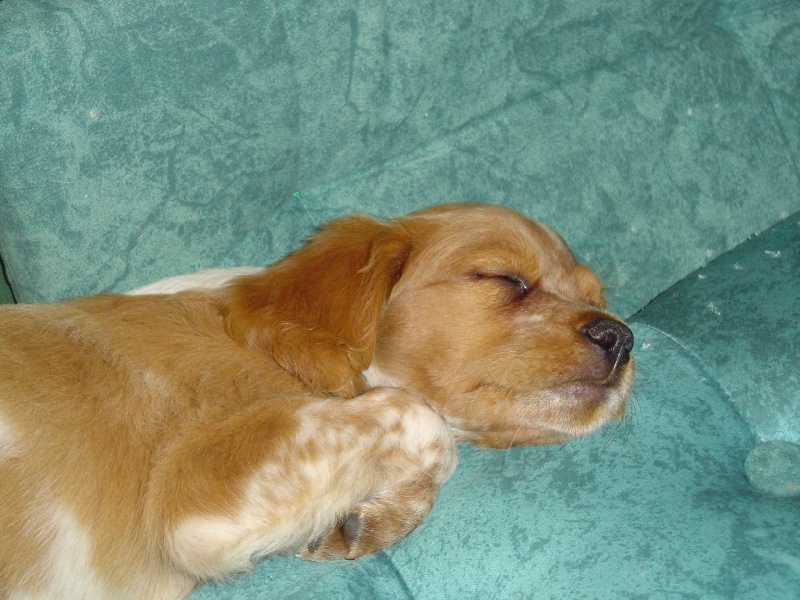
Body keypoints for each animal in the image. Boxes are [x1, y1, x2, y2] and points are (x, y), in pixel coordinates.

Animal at [3, 204, 636, 596]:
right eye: (505, 279)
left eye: (598, 297)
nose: (623, 338)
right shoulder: (192, 495)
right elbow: (421, 417)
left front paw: (372, 517)